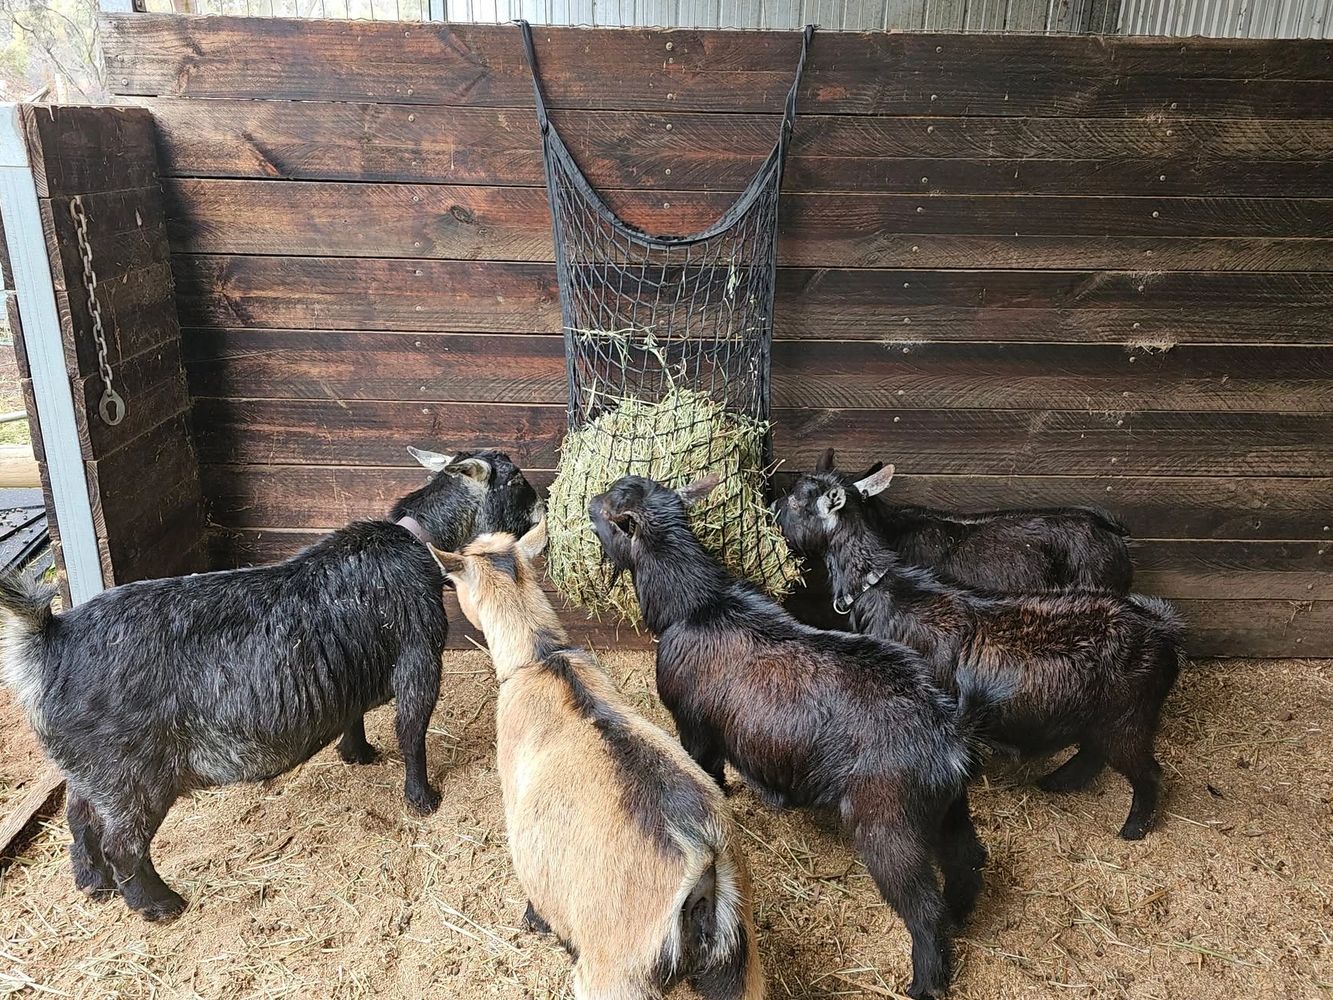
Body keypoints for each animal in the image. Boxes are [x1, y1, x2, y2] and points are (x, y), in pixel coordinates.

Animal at [0, 447, 540, 922]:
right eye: (515, 478)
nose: (541, 507)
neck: (415, 540)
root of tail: (50, 638)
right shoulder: (418, 656)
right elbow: (412, 733)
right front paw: (422, 799)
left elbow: (354, 713)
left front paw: (359, 754)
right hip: (130, 775)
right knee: (123, 844)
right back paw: (159, 905)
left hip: (89, 771)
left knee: (78, 816)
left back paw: (92, 883)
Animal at [589, 474, 986, 1000]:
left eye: (611, 511)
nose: (587, 506)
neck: (697, 605)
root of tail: (948, 736)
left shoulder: (694, 725)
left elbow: (707, 771)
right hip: (948, 807)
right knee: (968, 858)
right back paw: (962, 914)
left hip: (888, 822)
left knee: (924, 909)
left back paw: (925, 981)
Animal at [774, 464, 1184, 841]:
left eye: (795, 500)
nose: (773, 507)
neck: (884, 587)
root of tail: (1163, 627)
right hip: (1102, 714)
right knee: (1093, 752)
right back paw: (1058, 781)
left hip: (1127, 717)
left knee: (1146, 771)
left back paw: (1133, 827)